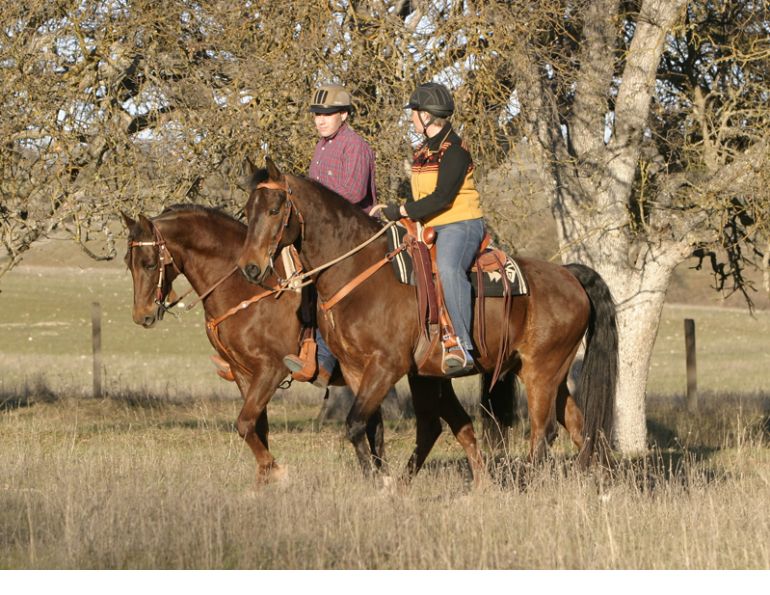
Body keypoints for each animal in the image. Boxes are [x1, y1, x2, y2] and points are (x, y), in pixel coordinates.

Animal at [237, 158, 618, 475]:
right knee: (578, 425)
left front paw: (381, 481)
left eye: (274, 209)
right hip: (549, 373)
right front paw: (380, 481)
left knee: (544, 431)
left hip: (541, 370)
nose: (250, 268)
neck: (360, 271)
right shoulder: (359, 370)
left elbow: (356, 423)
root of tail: (569, 275)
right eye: (246, 211)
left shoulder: (387, 366)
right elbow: (369, 427)